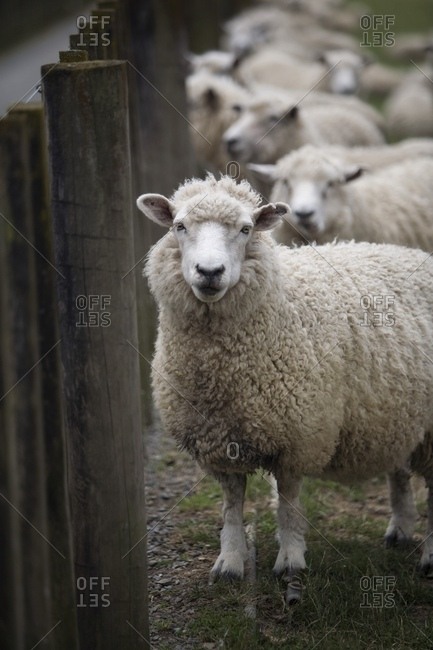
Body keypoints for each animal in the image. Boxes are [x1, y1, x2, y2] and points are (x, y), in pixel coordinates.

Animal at [137, 174, 433, 601]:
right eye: (179, 226)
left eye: (246, 229)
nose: (209, 272)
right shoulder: (220, 442)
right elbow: (231, 505)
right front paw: (229, 562)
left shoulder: (299, 435)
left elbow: (289, 503)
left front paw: (291, 560)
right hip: (397, 412)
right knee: (398, 469)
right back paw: (400, 529)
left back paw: (429, 556)